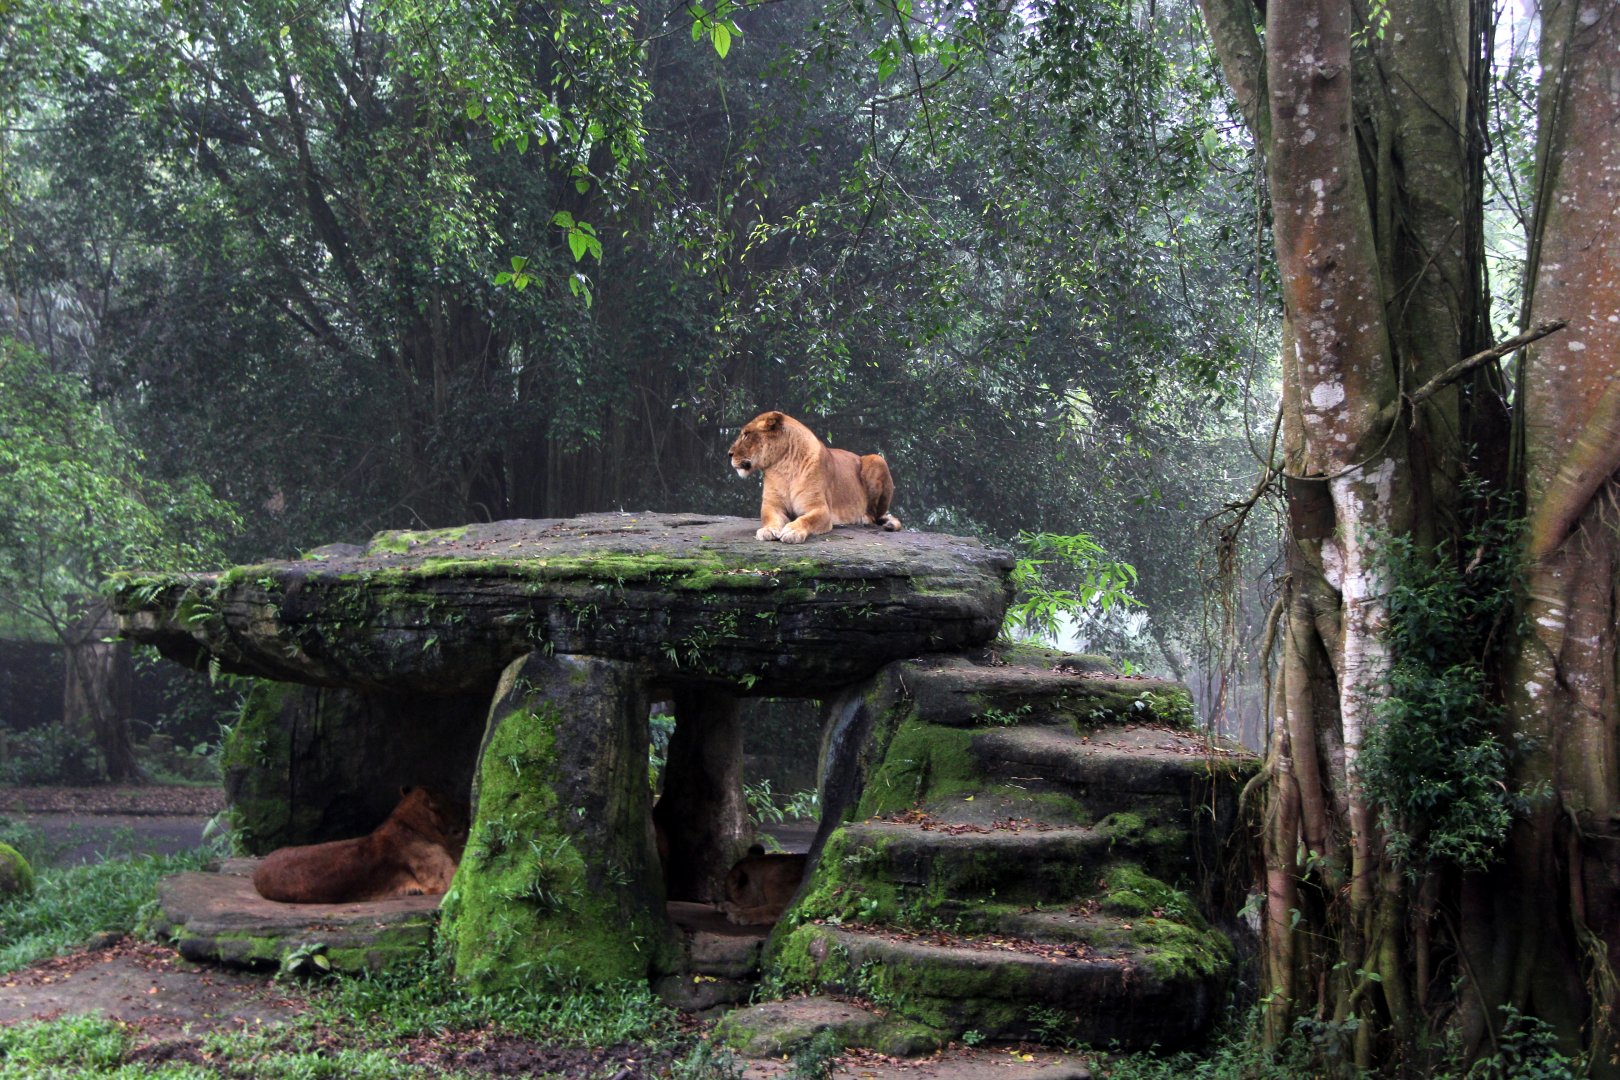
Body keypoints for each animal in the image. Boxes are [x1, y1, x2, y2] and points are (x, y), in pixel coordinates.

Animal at [729, 411, 901, 543]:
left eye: (746, 435)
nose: (729, 454)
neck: (783, 468)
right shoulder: (772, 505)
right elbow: (769, 518)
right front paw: (768, 530)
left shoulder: (820, 508)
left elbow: (806, 519)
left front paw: (792, 531)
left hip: (876, 458)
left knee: (874, 515)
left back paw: (864, 518)